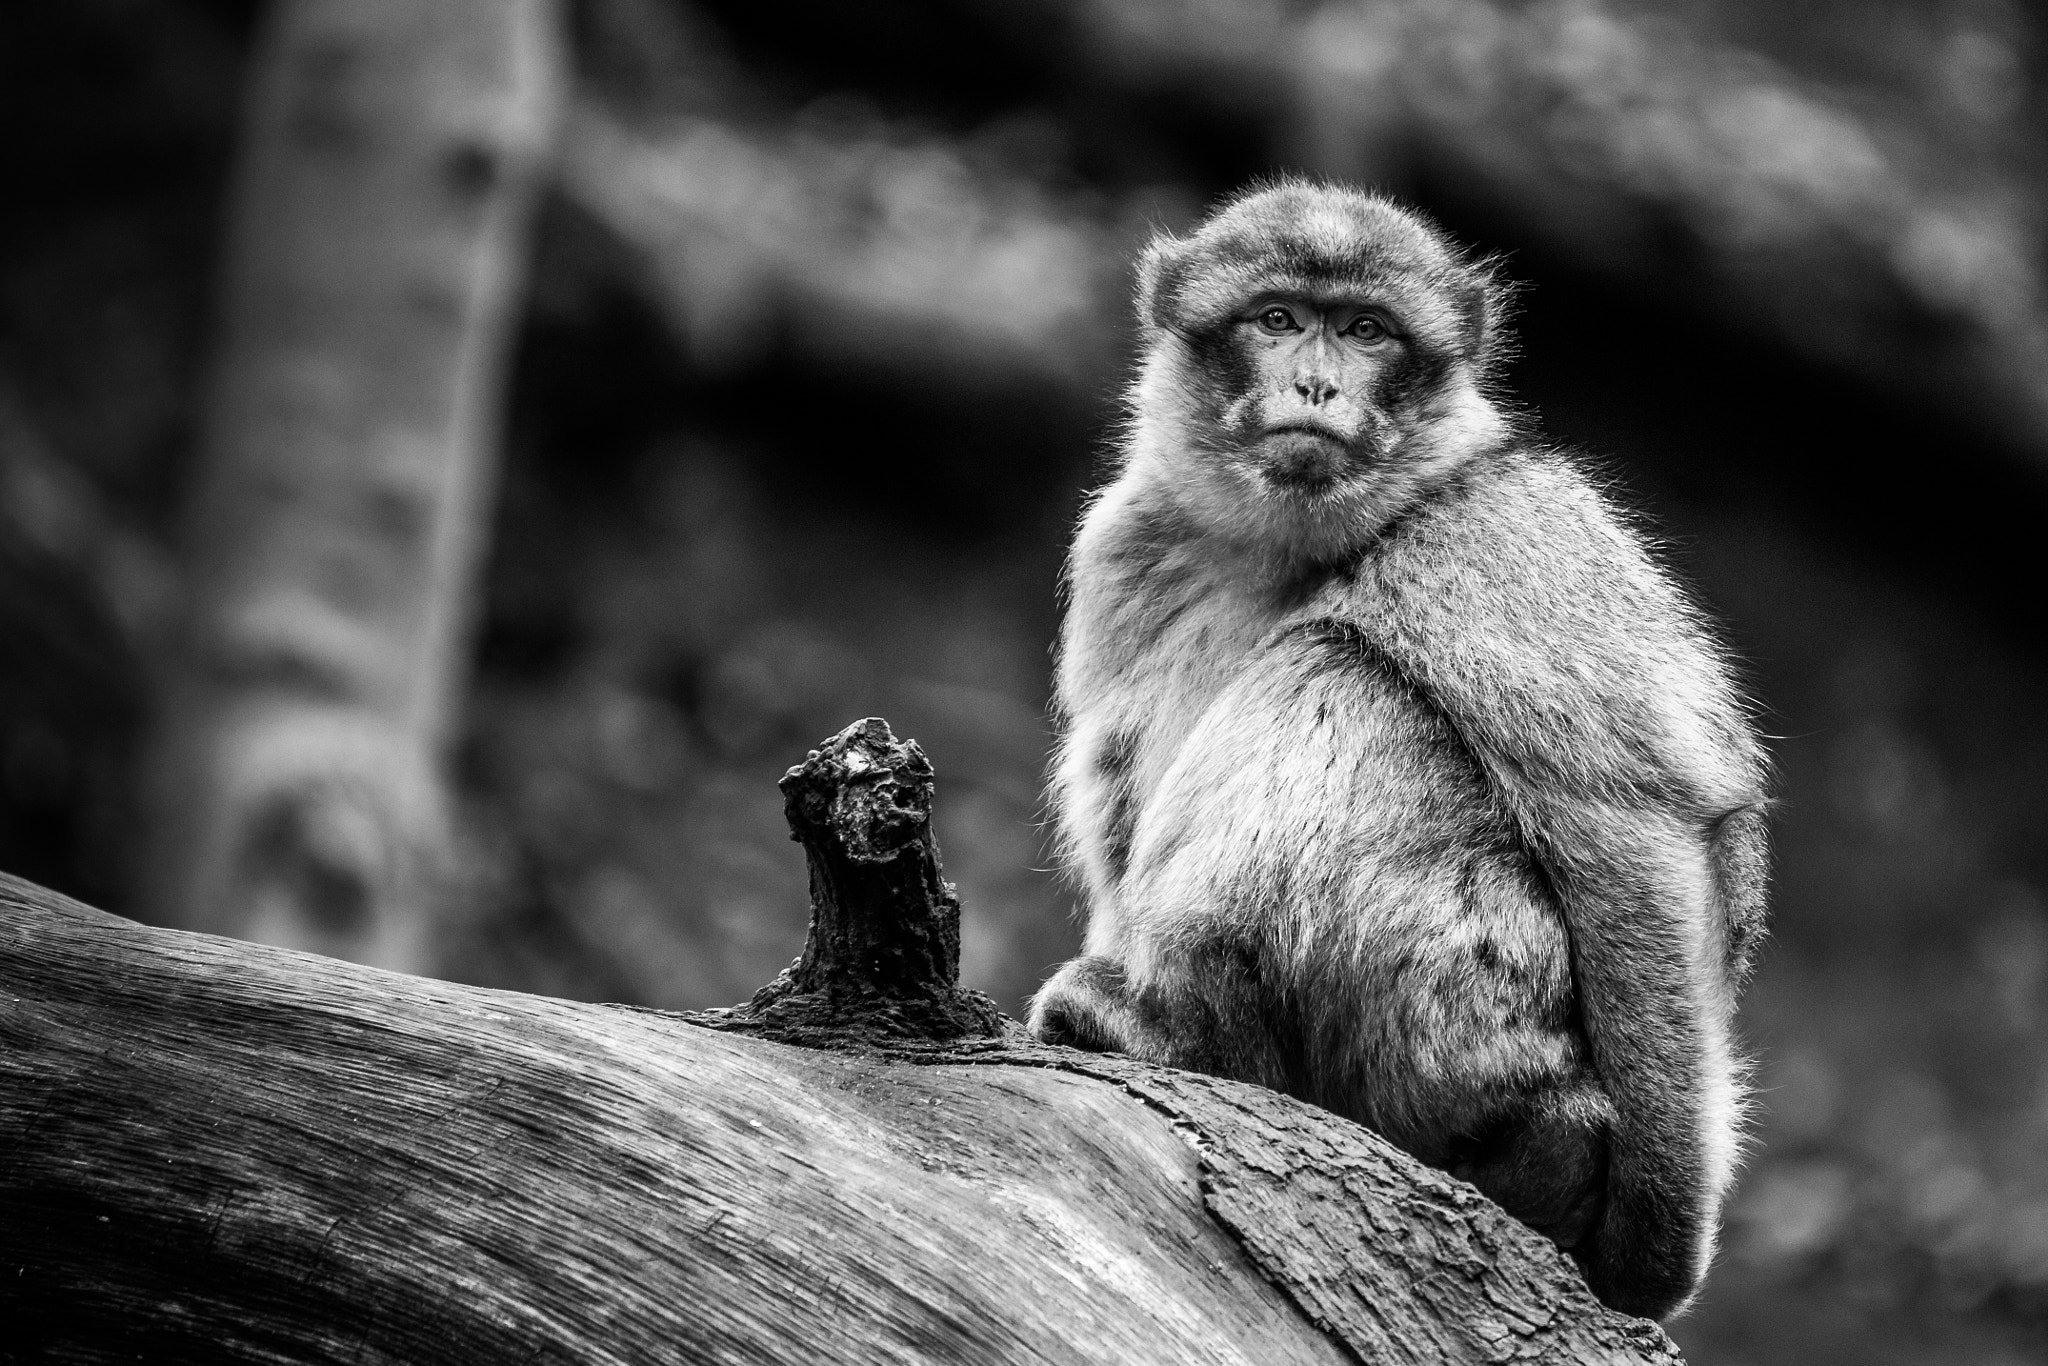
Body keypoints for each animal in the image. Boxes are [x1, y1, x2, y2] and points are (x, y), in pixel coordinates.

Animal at [1026, 180, 1771, 1322]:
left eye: (1366, 331)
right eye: (1279, 319)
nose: (1317, 381)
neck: (1293, 546)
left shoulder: (1498, 534)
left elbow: (1644, 816)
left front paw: (1652, 1251)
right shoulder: (1126, 540)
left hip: (1477, 1015)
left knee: (1338, 672)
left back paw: (1194, 1029)